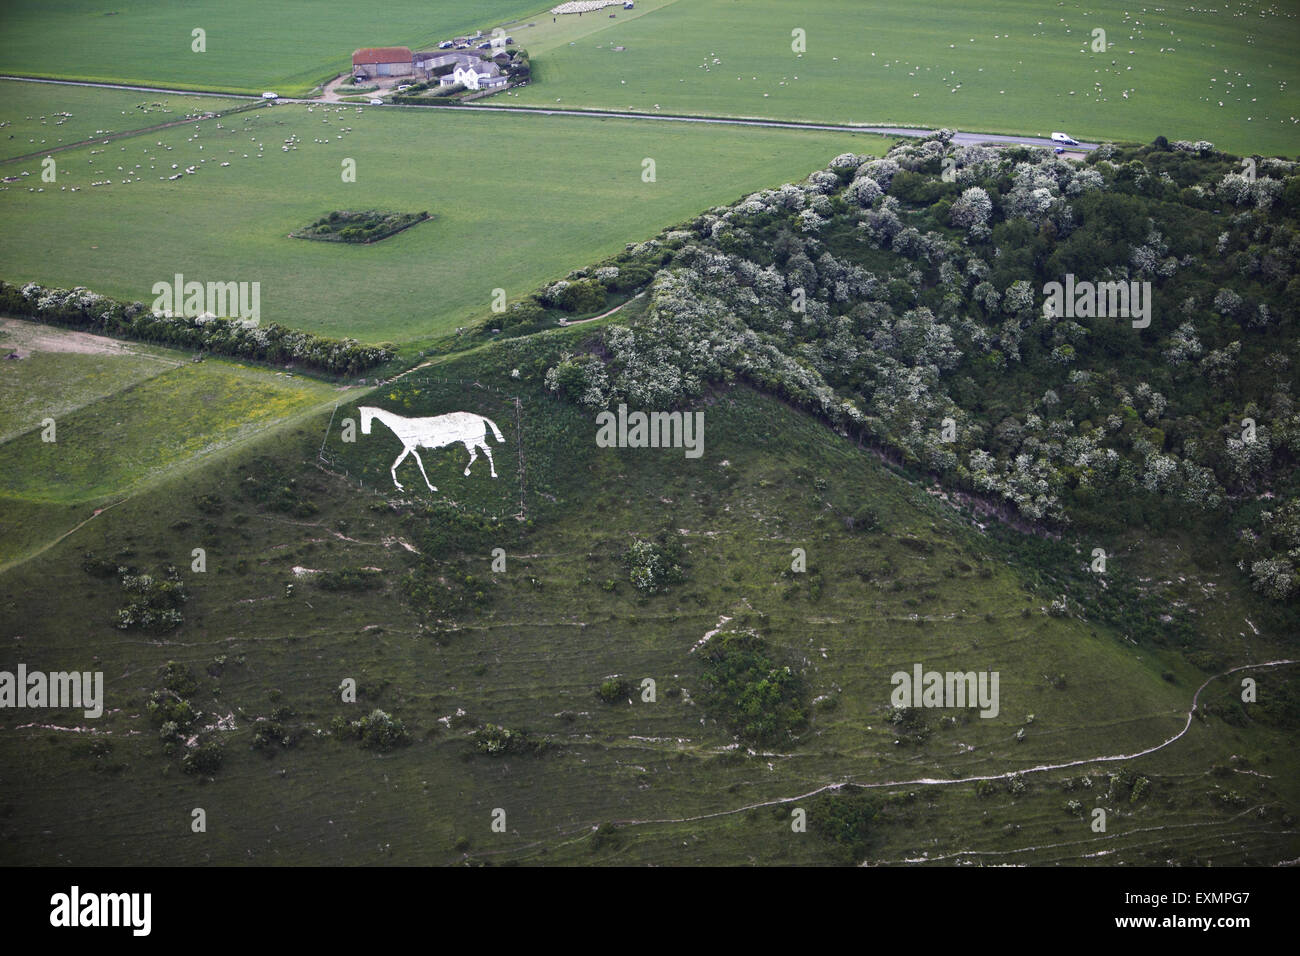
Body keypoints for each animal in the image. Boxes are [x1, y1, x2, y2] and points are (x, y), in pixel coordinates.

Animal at [358, 406, 505, 492]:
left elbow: (419, 464)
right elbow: (395, 464)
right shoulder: (408, 447)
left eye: (365, 416)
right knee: (484, 451)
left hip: (472, 441)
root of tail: (480, 417)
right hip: (475, 441)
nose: (365, 431)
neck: (401, 425)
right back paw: (489, 473)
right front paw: (399, 486)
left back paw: (470, 471)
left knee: (480, 453)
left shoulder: (411, 448)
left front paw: (432, 487)